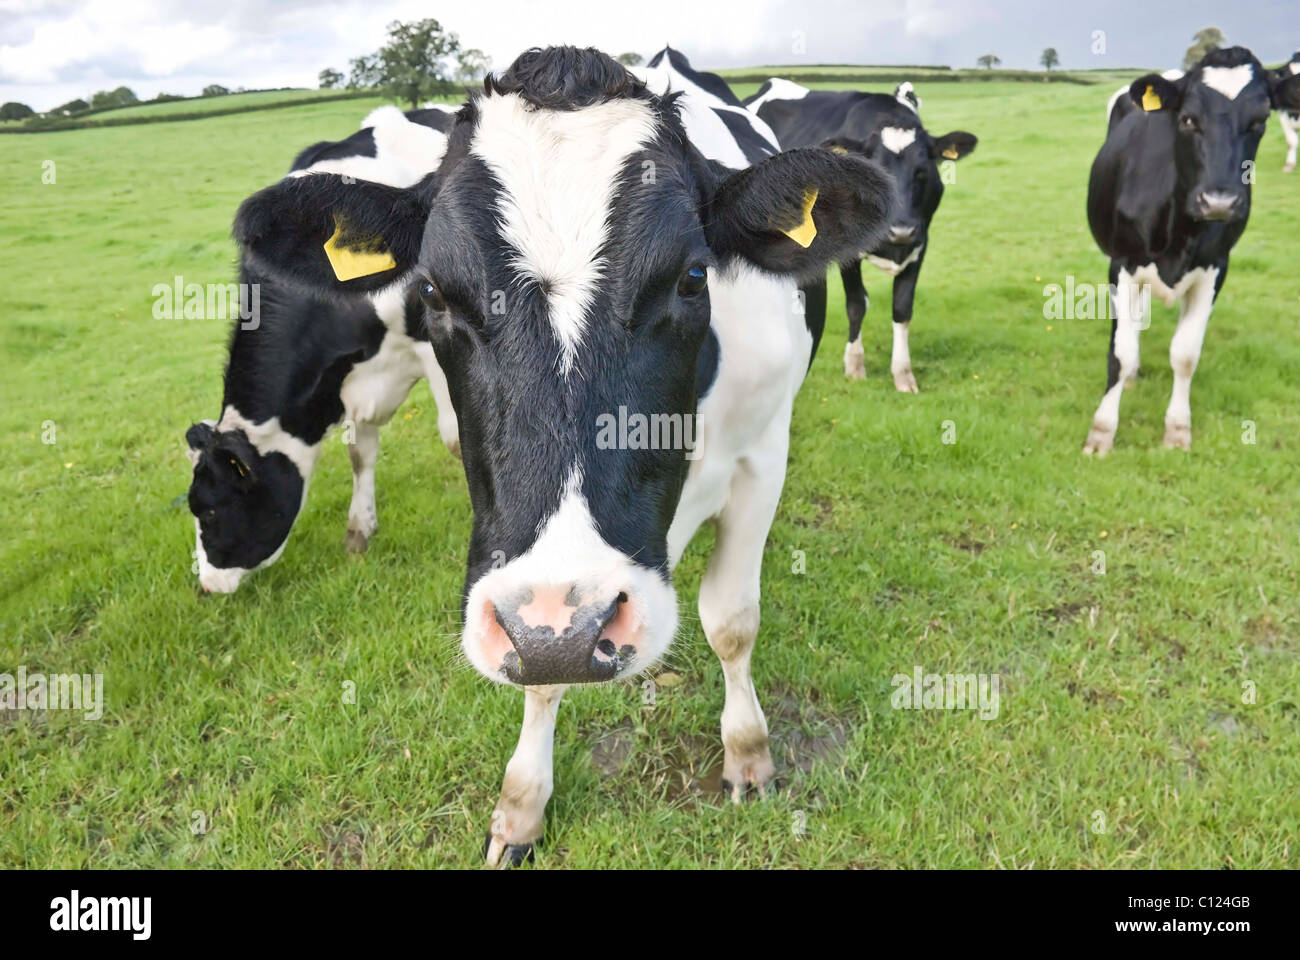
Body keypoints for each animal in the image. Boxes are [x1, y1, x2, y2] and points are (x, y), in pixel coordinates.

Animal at [184, 102, 462, 590]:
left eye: (213, 510)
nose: (208, 586)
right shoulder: (347, 378)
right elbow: (360, 453)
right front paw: (359, 531)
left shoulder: (435, 347)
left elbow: (458, 439)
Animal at [228, 44, 894, 863]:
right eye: (433, 292)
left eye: (692, 277)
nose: (572, 629)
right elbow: (539, 674)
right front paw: (522, 806)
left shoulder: (764, 454)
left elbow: (732, 621)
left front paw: (748, 753)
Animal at [743, 75, 977, 390]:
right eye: (875, 170)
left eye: (923, 171)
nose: (900, 229)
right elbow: (856, 303)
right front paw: (855, 366)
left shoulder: (920, 242)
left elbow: (902, 308)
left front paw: (903, 374)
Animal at [1086, 46, 1279, 457]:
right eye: (1189, 119)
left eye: (1260, 120)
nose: (1219, 202)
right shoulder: (1122, 264)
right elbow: (1120, 353)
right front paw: (1101, 433)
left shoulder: (1215, 268)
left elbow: (1186, 354)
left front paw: (1177, 429)